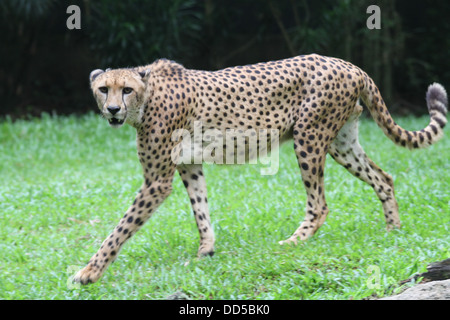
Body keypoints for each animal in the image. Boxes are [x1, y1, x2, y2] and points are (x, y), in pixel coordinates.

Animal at [74, 53, 446, 284]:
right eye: (103, 89)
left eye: (126, 89)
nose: (111, 110)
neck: (146, 97)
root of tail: (350, 64)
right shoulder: (189, 166)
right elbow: (200, 208)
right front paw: (207, 250)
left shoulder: (157, 180)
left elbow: (120, 229)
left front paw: (89, 273)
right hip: (341, 141)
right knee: (383, 177)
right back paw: (393, 230)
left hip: (308, 135)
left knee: (320, 203)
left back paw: (294, 241)